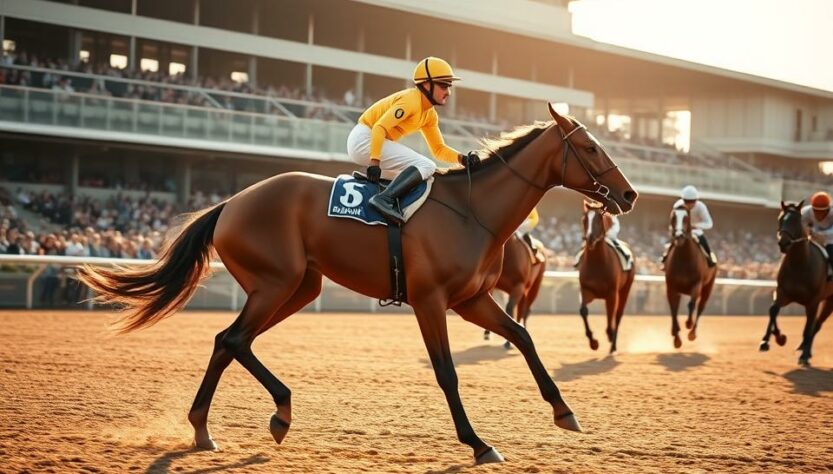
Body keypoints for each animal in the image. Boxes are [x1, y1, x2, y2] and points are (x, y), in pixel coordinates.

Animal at [577, 201, 635, 354]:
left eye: (599, 219)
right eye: (584, 219)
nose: (590, 239)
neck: (598, 264)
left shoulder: (612, 293)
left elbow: (611, 317)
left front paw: (609, 336)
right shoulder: (586, 289)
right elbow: (583, 311)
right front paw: (593, 342)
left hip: (625, 290)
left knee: (617, 316)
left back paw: (613, 346)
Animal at [664, 205, 717, 348]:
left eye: (686, 218)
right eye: (673, 217)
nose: (679, 236)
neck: (684, 259)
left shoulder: (697, 285)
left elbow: (691, 304)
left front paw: (688, 323)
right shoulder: (671, 286)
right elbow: (673, 308)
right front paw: (676, 337)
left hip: (708, 287)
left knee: (700, 307)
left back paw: (692, 333)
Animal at [760, 201, 833, 366]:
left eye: (796, 221)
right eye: (780, 219)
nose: (783, 243)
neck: (800, 264)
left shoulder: (813, 302)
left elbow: (808, 327)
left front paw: (804, 356)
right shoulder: (784, 293)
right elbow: (773, 310)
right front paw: (773, 339)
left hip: (830, 301)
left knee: (816, 325)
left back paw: (805, 351)